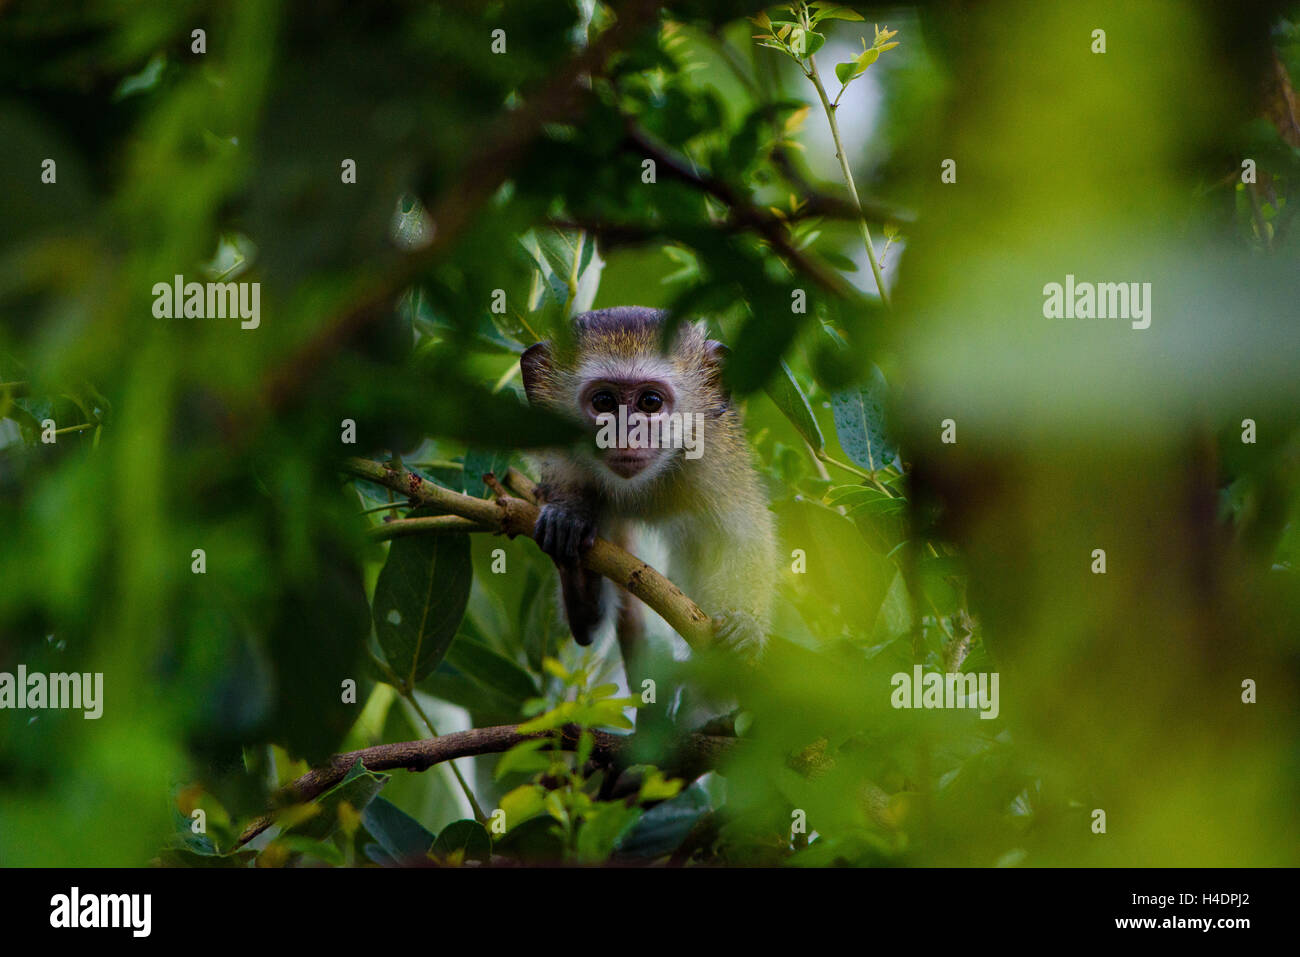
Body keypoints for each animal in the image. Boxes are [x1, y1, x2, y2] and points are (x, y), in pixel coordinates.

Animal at [517, 308, 774, 665]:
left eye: (650, 401)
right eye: (604, 401)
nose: (625, 437)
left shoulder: (715, 456)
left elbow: (743, 535)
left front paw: (745, 625)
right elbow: (586, 630)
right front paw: (568, 521)